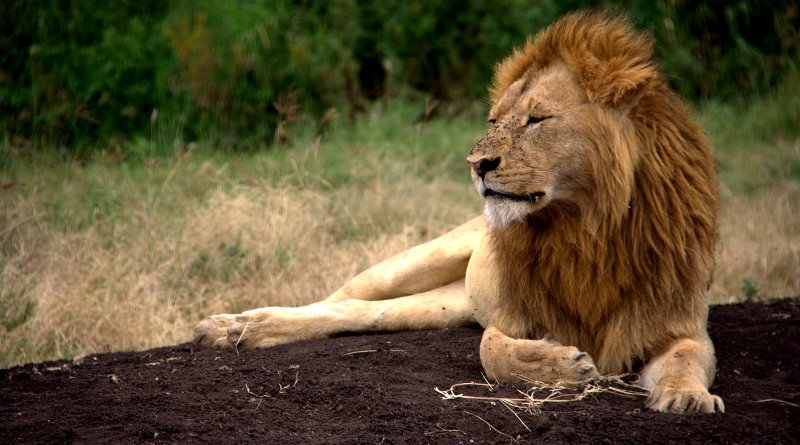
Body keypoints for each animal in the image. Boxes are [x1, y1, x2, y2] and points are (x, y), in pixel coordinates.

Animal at [193, 11, 724, 414]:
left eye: (537, 119)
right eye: (494, 120)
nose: (478, 164)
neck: (588, 230)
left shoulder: (678, 323)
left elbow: (688, 359)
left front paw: (687, 397)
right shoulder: (513, 313)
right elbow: (492, 349)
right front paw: (563, 366)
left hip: (448, 303)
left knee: (364, 314)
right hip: (415, 263)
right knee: (337, 298)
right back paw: (233, 327)